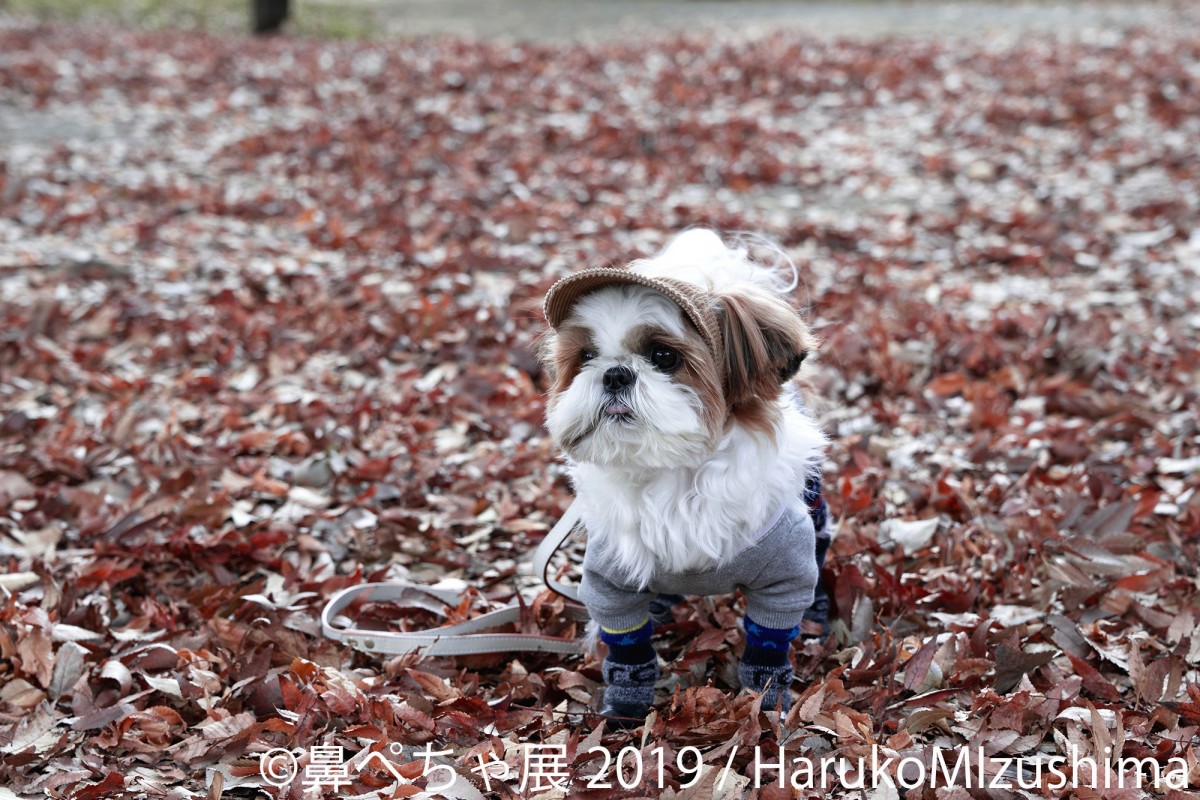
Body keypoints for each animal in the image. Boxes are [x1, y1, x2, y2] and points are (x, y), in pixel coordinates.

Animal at [540, 226, 830, 724]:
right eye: (587, 356)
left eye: (663, 356)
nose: (615, 373)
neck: (673, 472)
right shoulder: (611, 578)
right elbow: (629, 648)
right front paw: (625, 705)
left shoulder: (784, 576)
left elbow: (769, 646)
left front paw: (767, 700)